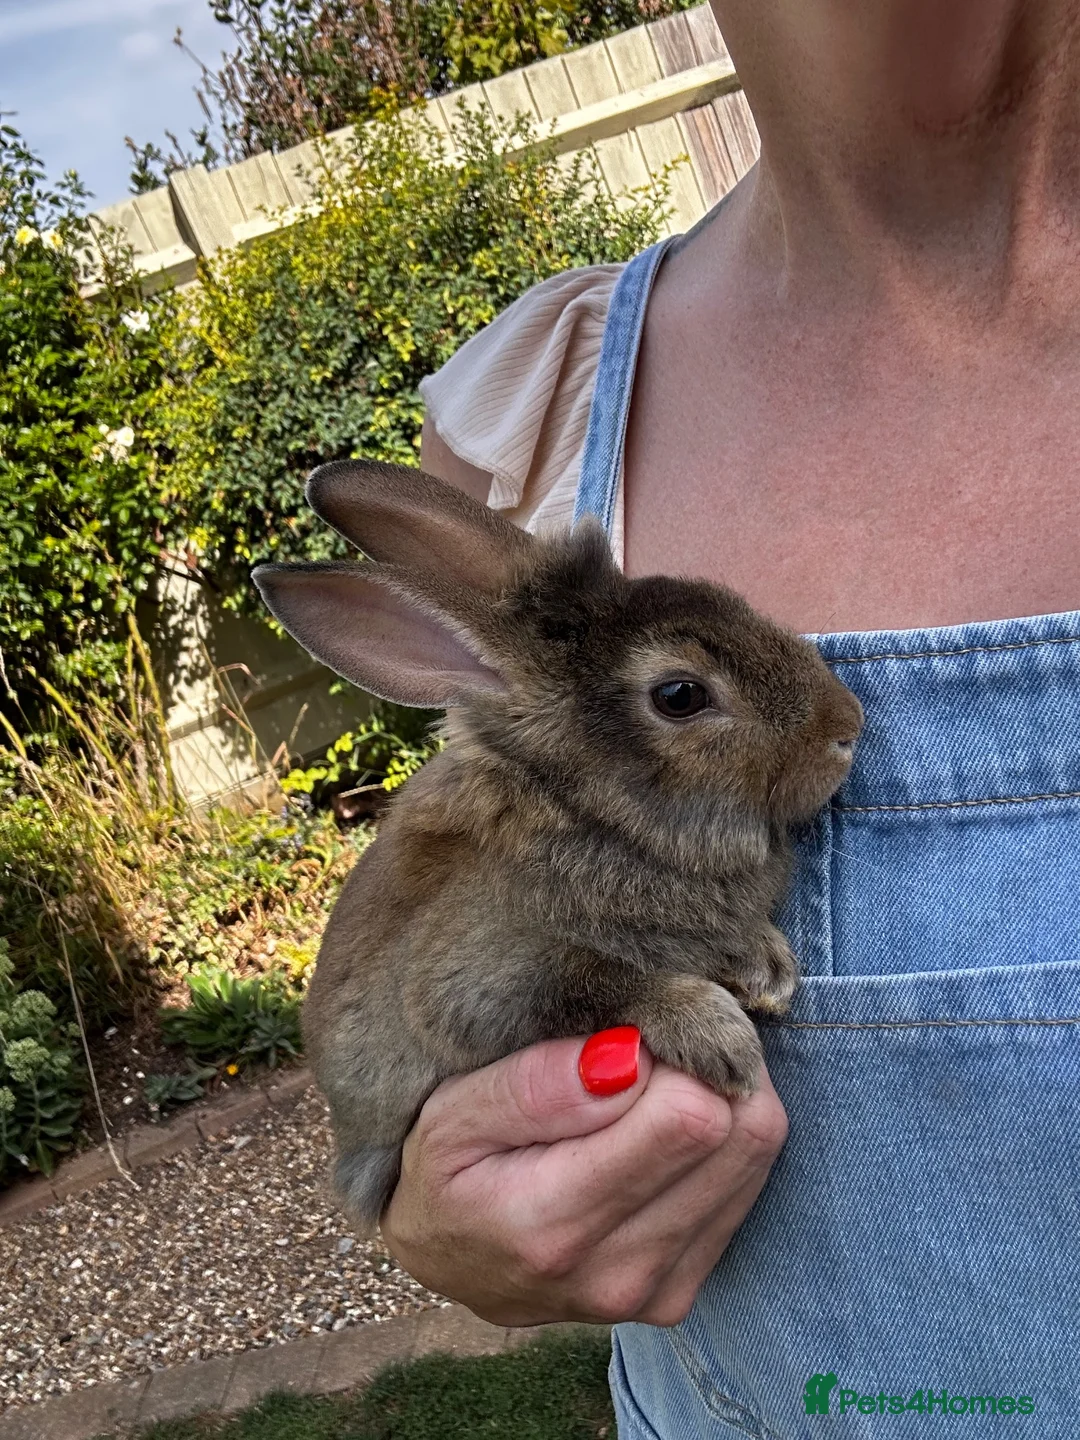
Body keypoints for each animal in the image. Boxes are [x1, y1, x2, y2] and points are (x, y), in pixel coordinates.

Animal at [253, 459, 863, 1233]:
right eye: (681, 695)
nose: (847, 725)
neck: (593, 816)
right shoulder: (484, 986)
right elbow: (597, 982)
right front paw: (719, 1040)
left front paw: (767, 969)